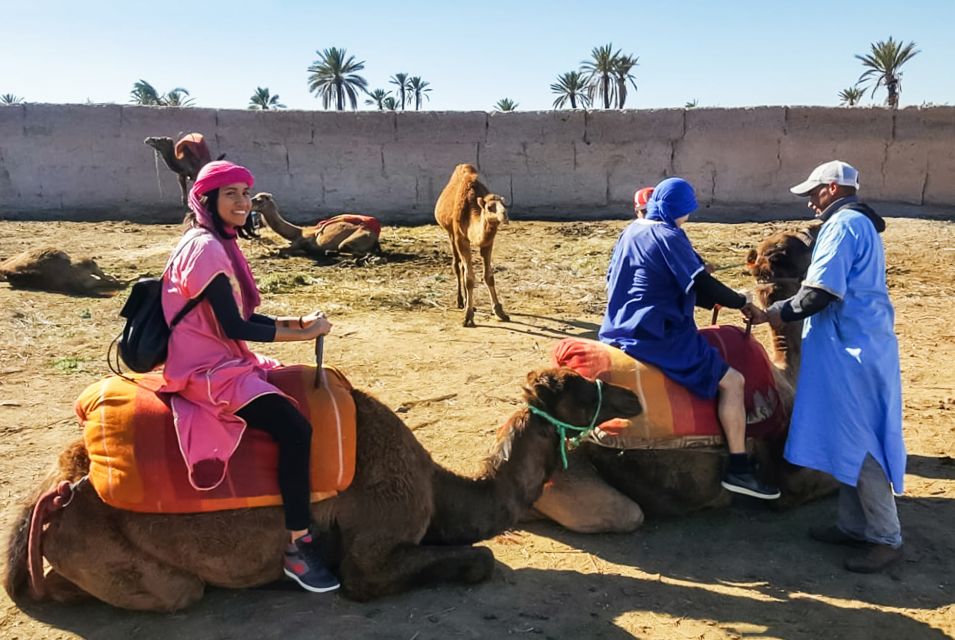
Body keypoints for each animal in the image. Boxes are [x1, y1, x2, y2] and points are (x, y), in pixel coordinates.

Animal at [3, 364, 644, 608]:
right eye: (579, 389)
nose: (632, 396)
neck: (438, 487)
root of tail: (53, 489)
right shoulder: (374, 545)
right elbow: (479, 560)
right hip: (134, 568)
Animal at [252, 192, 382, 258]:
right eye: (254, 196)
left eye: (259, 200)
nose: (250, 204)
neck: (298, 232)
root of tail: (375, 236)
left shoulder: (302, 242)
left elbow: (280, 250)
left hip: (355, 239)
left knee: (356, 252)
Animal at [436, 162, 508, 328]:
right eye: (489, 207)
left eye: (505, 204)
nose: (505, 215)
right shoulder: (460, 237)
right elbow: (469, 278)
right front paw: (468, 317)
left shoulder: (488, 242)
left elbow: (489, 276)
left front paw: (499, 312)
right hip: (450, 234)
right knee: (457, 265)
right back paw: (461, 302)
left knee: (462, 266)